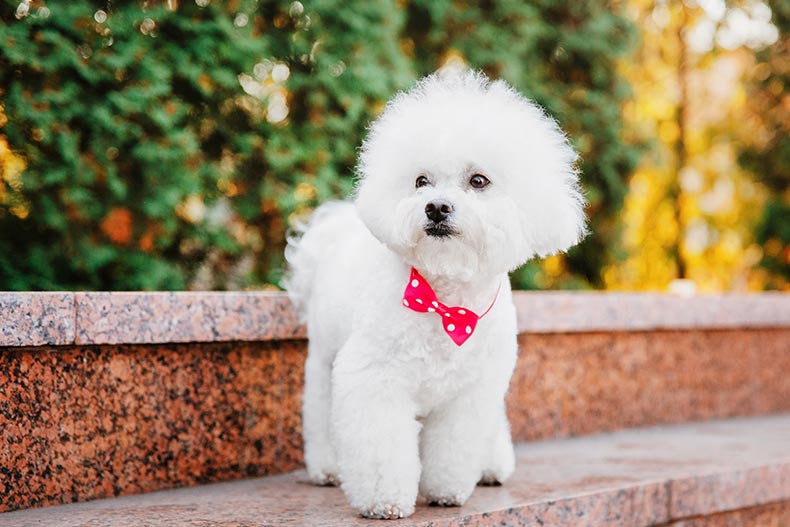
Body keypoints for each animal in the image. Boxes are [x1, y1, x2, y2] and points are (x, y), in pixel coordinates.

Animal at [284, 70, 588, 520]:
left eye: (478, 181)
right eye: (420, 181)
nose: (436, 207)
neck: (447, 301)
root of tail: (332, 228)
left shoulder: (471, 393)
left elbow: (454, 448)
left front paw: (447, 490)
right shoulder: (375, 378)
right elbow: (381, 448)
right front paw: (384, 501)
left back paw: (492, 464)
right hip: (324, 357)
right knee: (321, 409)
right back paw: (327, 466)